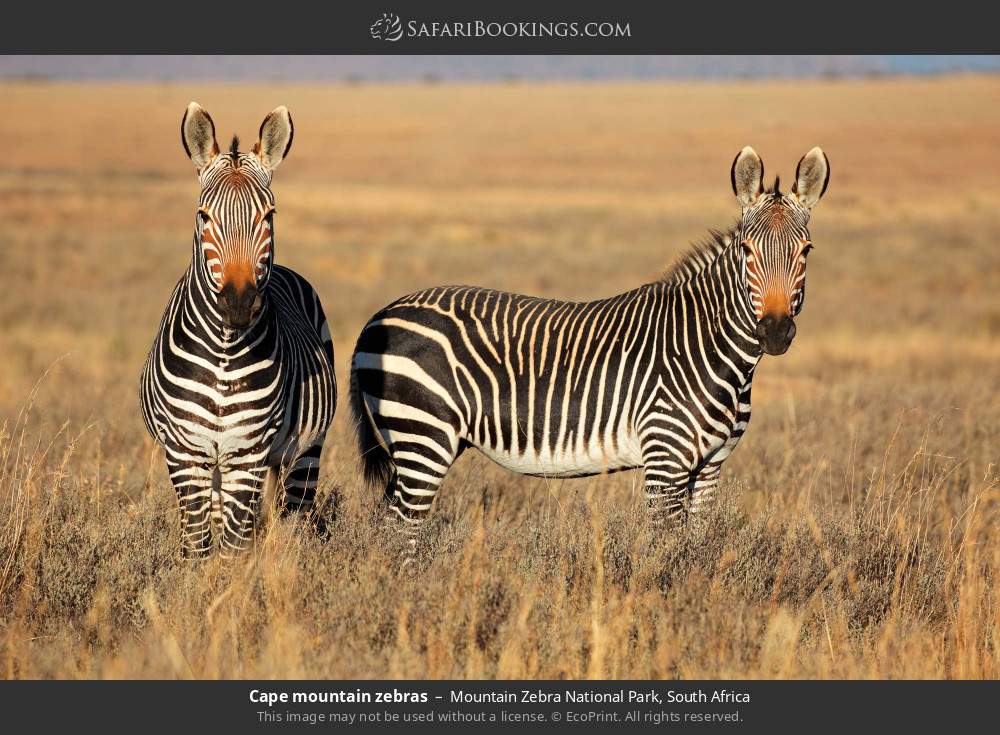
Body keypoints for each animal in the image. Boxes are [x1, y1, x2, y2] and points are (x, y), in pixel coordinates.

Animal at [141, 102, 337, 558]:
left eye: (269, 216)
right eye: (203, 216)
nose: (239, 304)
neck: (224, 352)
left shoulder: (248, 451)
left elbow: (233, 547)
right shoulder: (185, 452)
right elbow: (198, 546)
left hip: (304, 452)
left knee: (294, 515)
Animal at [350, 146, 829, 553]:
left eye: (806, 251)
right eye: (747, 251)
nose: (775, 332)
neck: (710, 349)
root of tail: (379, 315)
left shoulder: (710, 467)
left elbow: (695, 549)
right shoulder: (665, 460)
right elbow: (666, 551)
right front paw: (664, 598)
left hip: (410, 441)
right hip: (423, 434)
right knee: (401, 532)